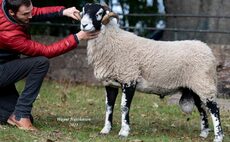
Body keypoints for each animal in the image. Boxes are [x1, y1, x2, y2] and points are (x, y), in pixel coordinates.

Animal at [80, 3, 224, 142]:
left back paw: (218, 137)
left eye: (99, 13)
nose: (83, 25)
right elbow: (108, 107)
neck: (113, 41)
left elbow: (124, 107)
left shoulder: (129, 78)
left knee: (214, 109)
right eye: (83, 11)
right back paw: (204, 134)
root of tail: (208, 51)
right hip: (195, 87)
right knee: (202, 108)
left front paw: (124, 132)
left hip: (203, 83)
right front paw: (105, 130)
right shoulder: (110, 83)